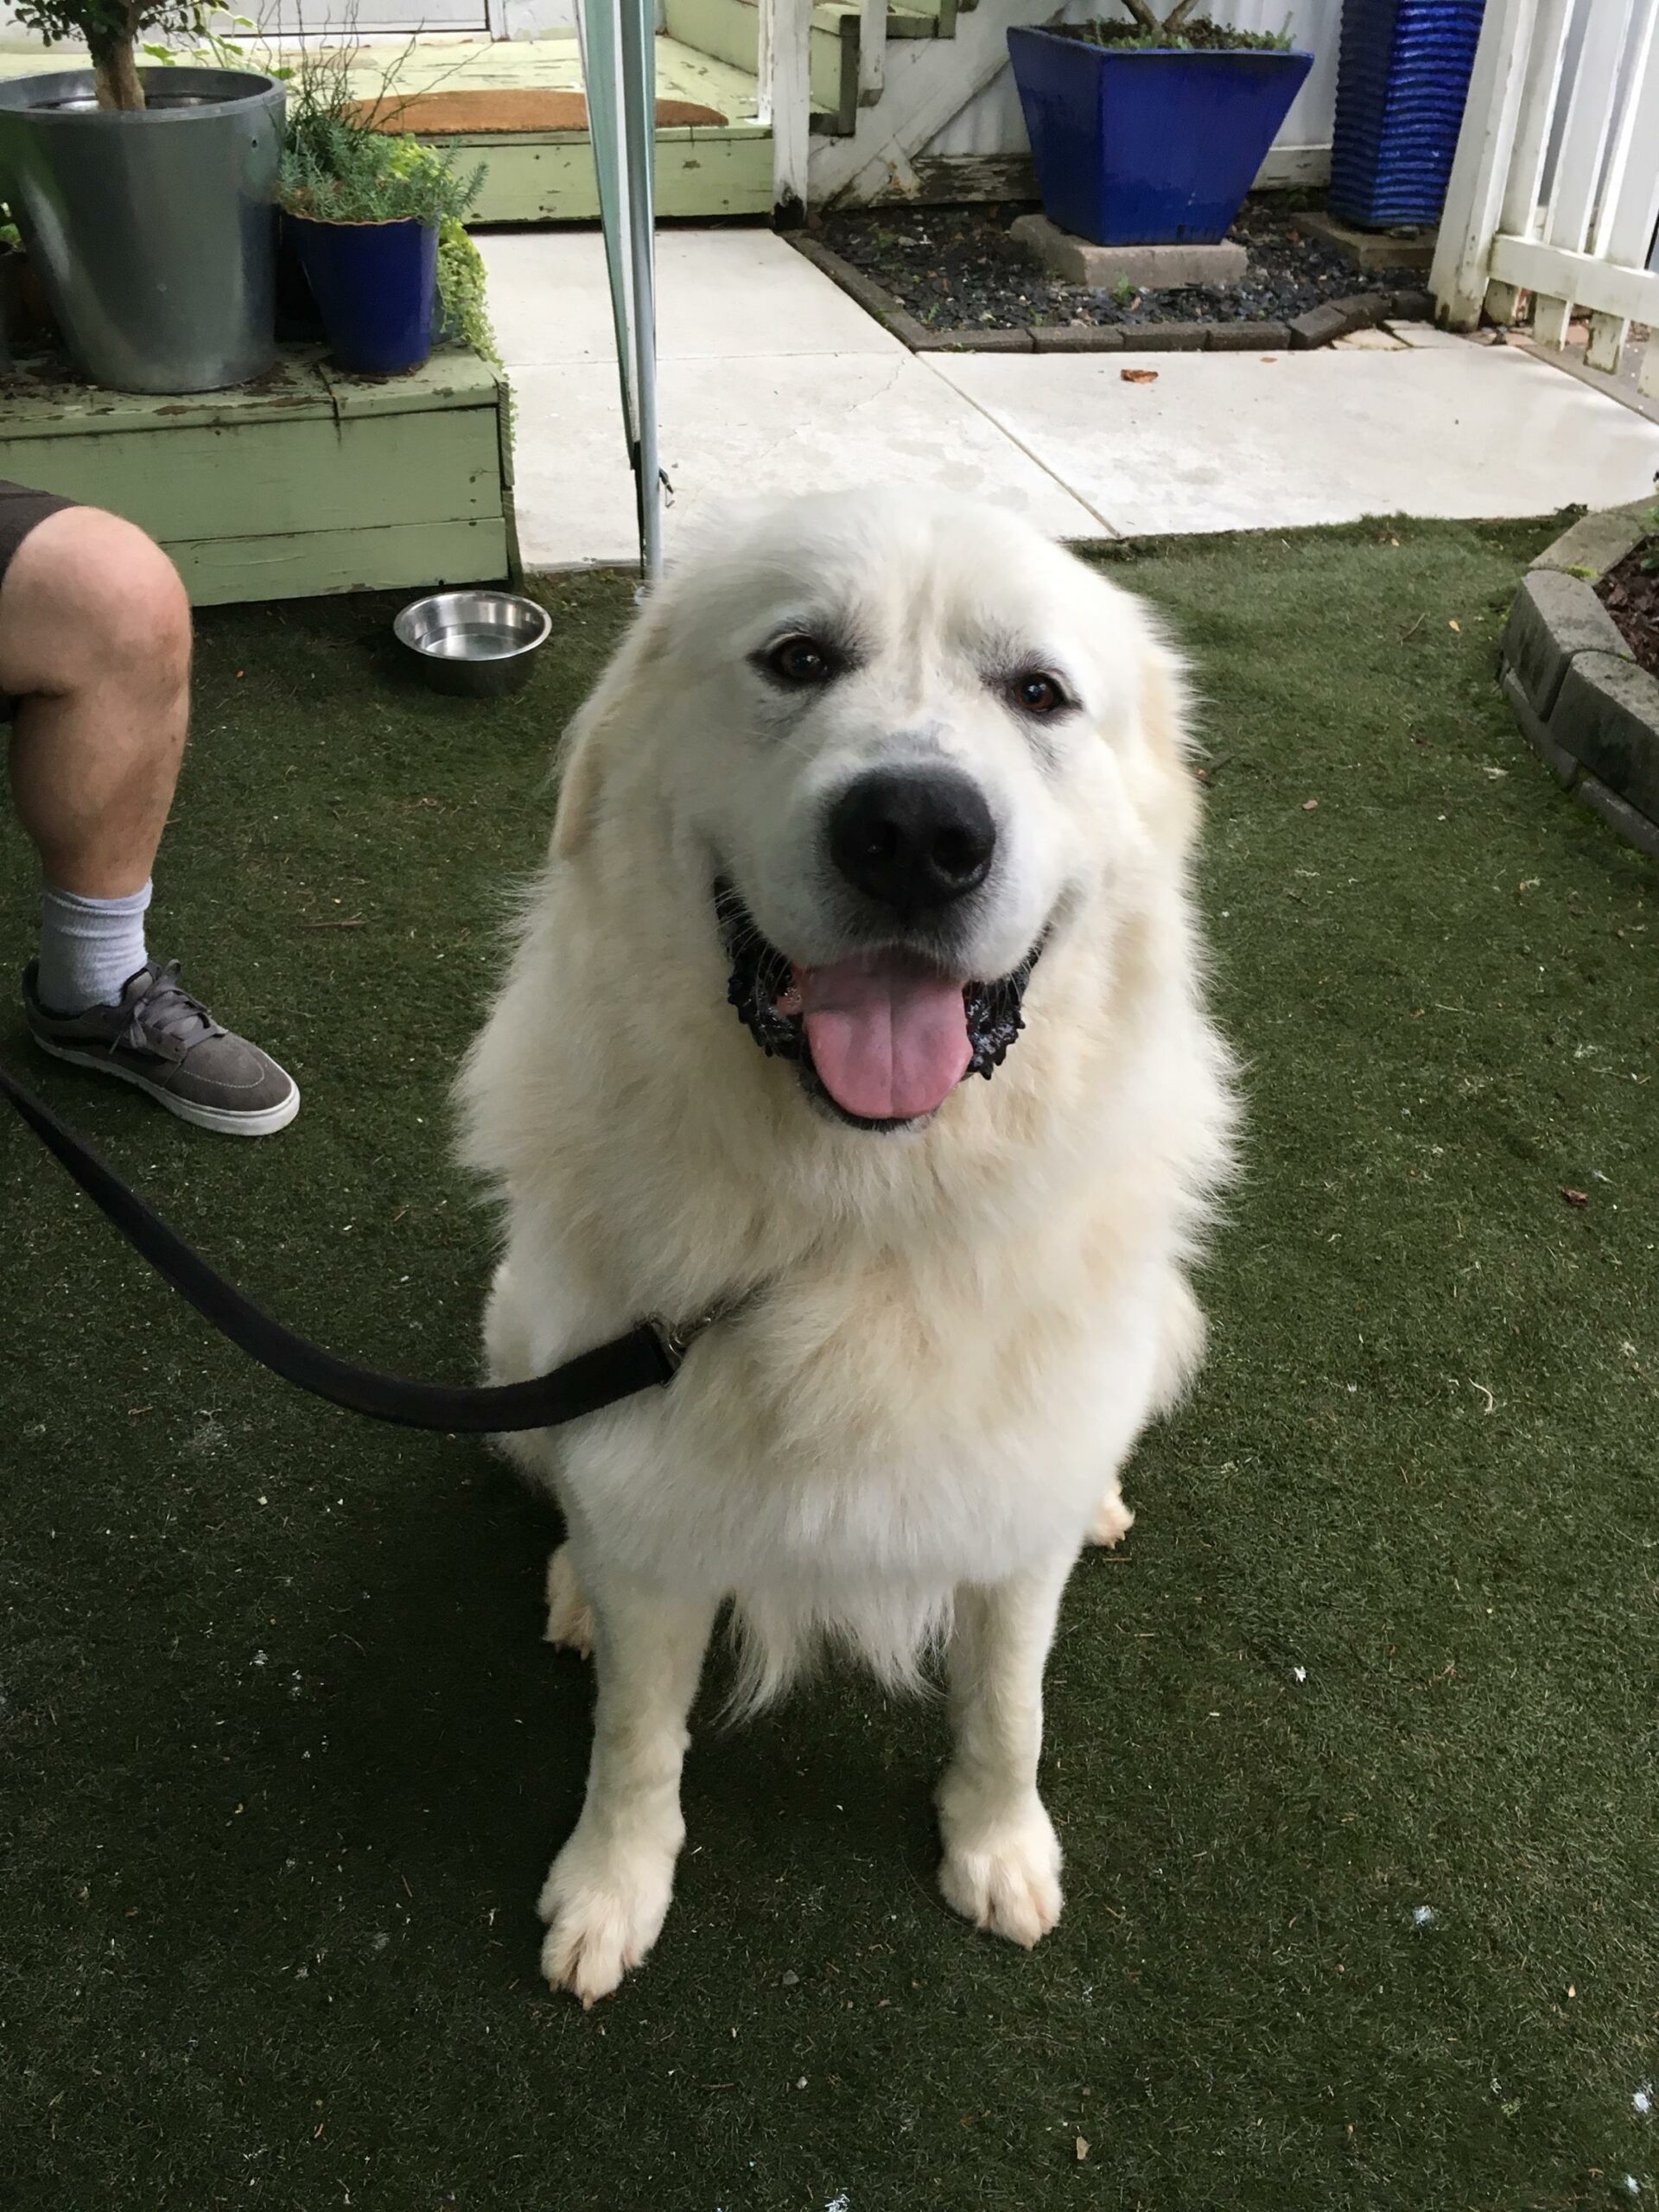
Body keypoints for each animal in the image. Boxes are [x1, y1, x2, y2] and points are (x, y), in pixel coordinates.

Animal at [462, 488, 1238, 2008]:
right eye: (799, 659)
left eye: (1039, 692)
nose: (918, 832)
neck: (861, 1214)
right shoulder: (653, 1502)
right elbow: (634, 1737)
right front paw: (611, 1891)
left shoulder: (1007, 1536)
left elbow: (1008, 1707)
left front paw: (997, 1851)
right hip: (524, 1336)